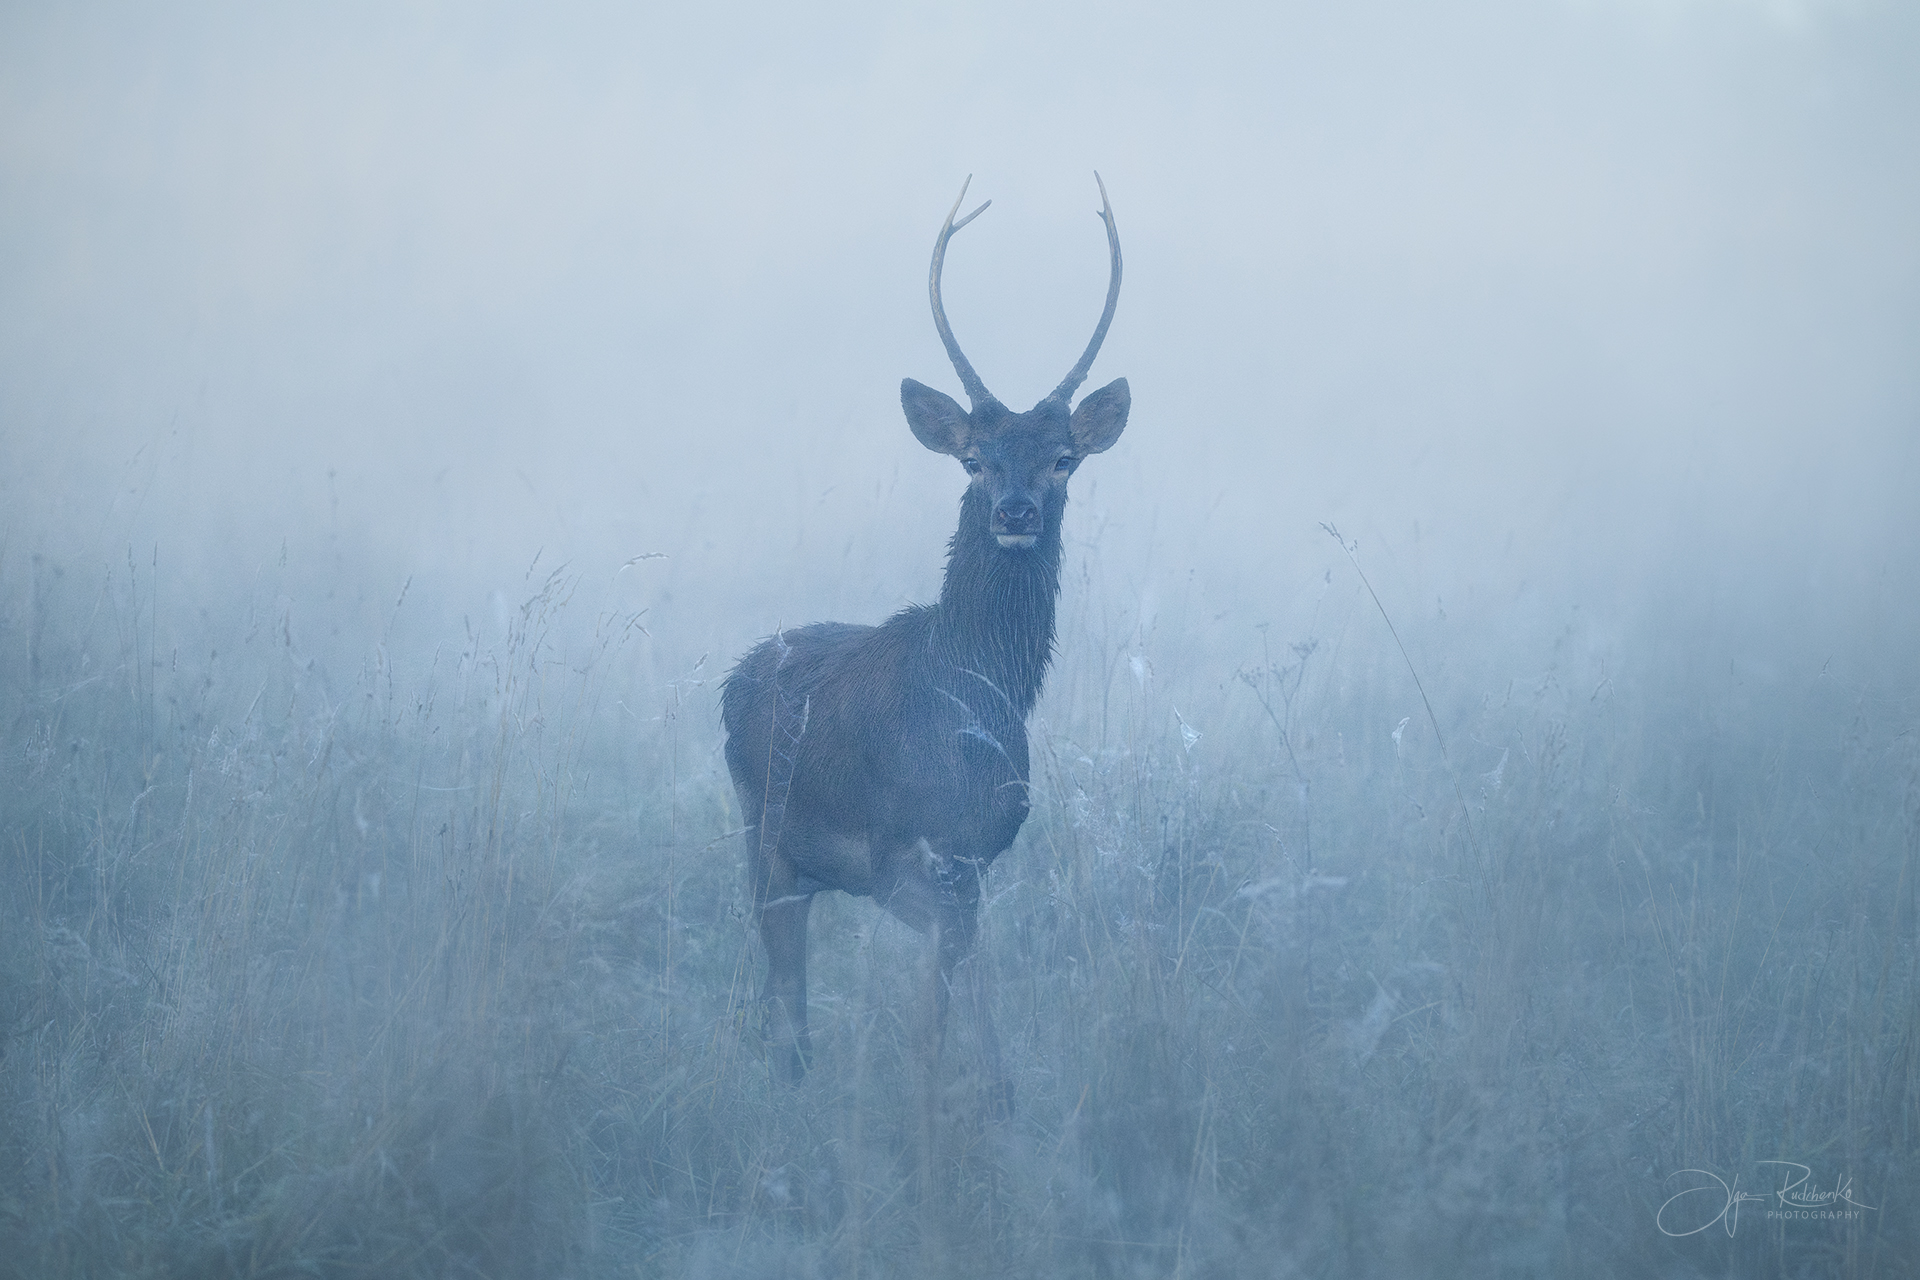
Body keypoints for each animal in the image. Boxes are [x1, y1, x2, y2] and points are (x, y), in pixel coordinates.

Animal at [721, 174, 1129, 1101]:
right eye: (974, 459)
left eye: (1063, 459)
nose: (1014, 511)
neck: (971, 692)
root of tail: (733, 675)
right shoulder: (908, 858)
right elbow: (936, 1018)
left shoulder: (975, 859)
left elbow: (974, 1010)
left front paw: (999, 1099)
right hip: (764, 837)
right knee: (788, 1005)